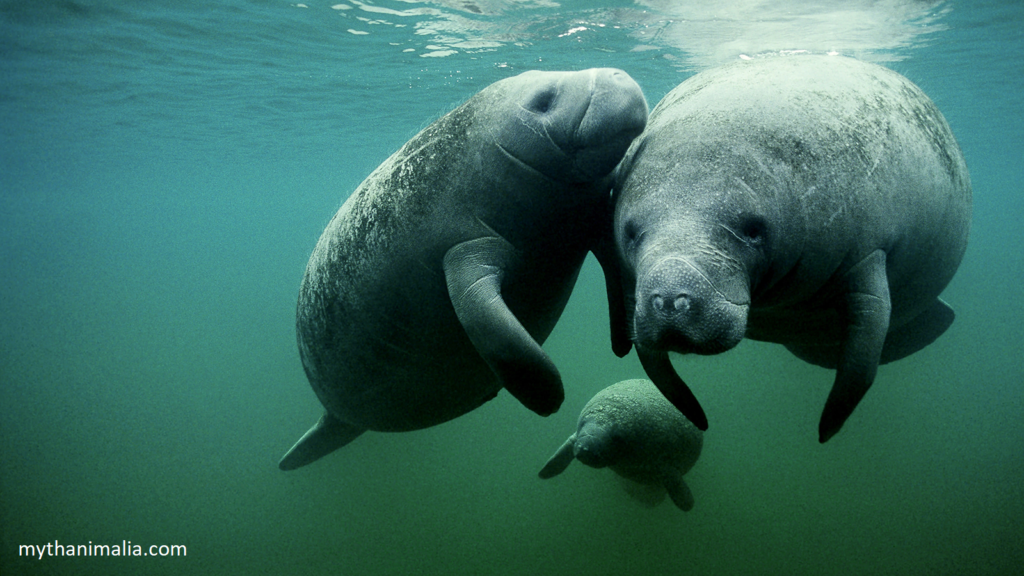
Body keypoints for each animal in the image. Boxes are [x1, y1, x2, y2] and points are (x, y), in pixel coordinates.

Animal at [278, 69, 647, 469]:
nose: (618, 75)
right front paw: (549, 396)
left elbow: (616, 270)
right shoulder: (462, 251)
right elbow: (494, 330)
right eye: (544, 101)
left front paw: (622, 343)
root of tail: (334, 418)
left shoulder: (592, 215)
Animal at [536, 379, 704, 508]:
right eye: (583, 423)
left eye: (617, 437)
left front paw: (687, 504)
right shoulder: (575, 437)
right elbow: (561, 453)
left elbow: (674, 479)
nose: (585, 449)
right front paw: (544, 473)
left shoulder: (663, 459)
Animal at [610, 54, 970, 438]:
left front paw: (827, 428)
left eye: (753, 230)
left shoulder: (868, 254)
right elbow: (655, 366)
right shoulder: (628, 279)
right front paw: (696, 415)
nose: (667, 300)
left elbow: (861, 364)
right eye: (632, 233)